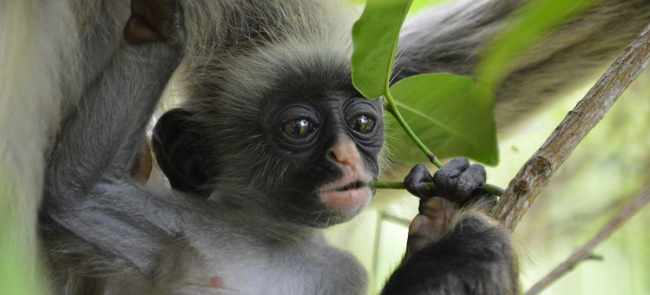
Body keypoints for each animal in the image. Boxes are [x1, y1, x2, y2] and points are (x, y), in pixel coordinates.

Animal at [0, 0, 644, 294]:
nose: (344, 158)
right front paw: (160, 26)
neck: (271, 240)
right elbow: (74, 194)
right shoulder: (177, 224)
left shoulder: (338, 273)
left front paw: (443, 214)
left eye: (361, 123)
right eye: (301, 130)